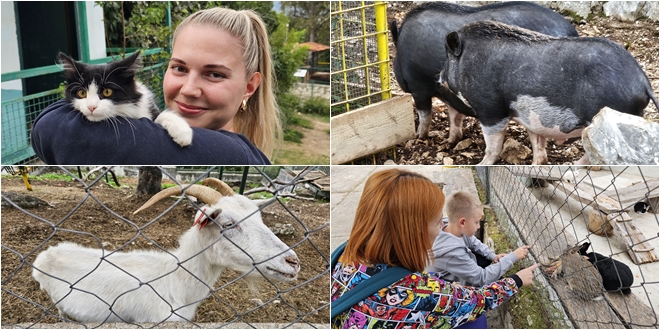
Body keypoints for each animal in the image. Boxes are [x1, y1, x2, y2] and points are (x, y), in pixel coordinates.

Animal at [392, 1, 576, 141]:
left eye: (394, 60)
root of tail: (572, 31)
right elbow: (454, 115)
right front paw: (451, 141)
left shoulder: (418, 86)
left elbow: (425, 115)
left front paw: (419, 137)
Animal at [438, 20, 660, 165]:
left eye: (448, 57)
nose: (439, 75)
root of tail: (643, 82)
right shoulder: (529, 117)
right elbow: (537, 143)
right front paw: (536, 165)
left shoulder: (490, 109)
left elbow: (493, 145)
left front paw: (481, 165)